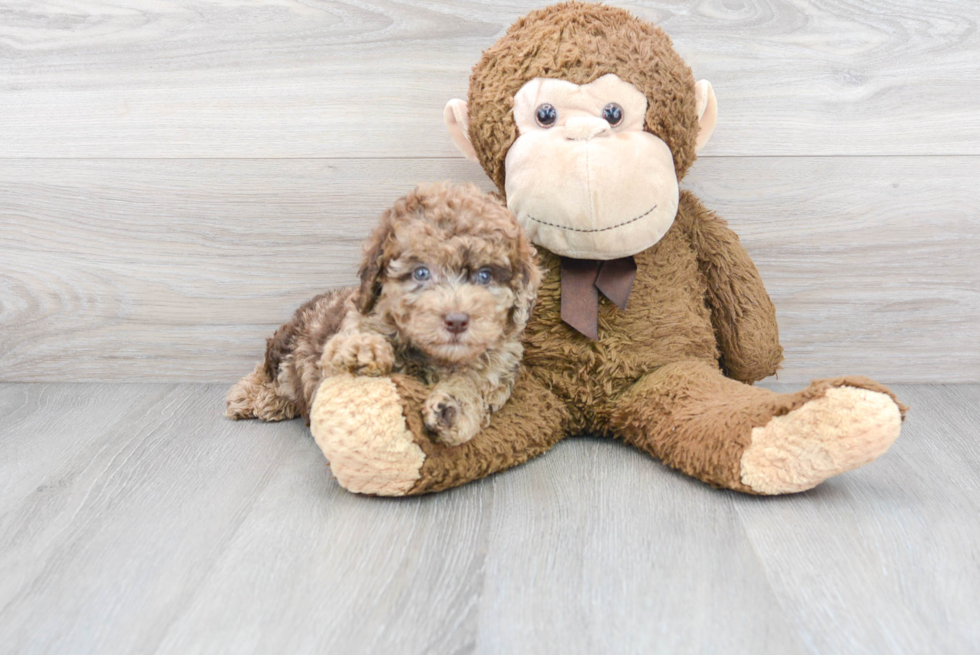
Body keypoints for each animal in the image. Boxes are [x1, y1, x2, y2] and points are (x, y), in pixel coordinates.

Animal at [226, 182, 540, 448]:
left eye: (485, 276)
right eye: (421, 273)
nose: (456, 320)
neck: (433, 357)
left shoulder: (496, 375)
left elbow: (473, 391)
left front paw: (452, 408)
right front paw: (360, 352)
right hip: (287, 343)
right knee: (269, 372)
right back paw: (249, 398)